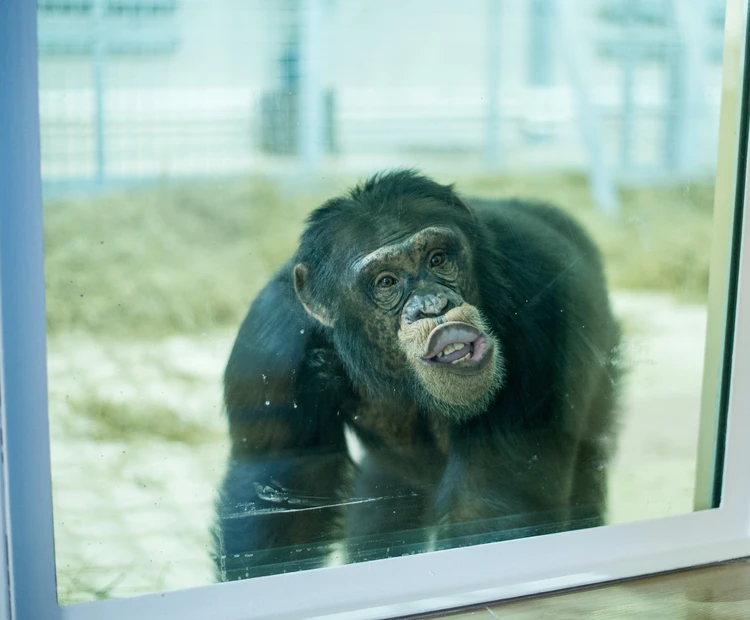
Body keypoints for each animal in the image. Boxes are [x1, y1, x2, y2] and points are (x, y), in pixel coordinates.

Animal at [212, 170, 624, 580]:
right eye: (386, 281)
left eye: (437, 259)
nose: (433, 305)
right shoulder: (269, 352)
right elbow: (279, 501)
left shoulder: (541, 314)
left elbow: (486, 503)